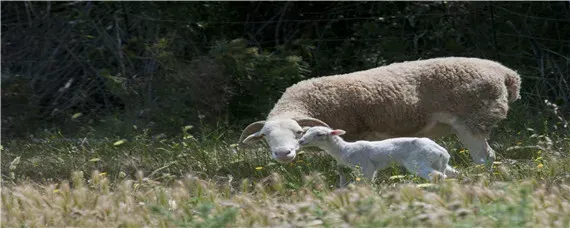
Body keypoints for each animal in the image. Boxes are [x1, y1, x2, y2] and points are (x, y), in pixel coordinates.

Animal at [236, 56, 520, 168]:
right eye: (265, 137)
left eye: (298, 132)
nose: (283, 154)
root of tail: (506, 73)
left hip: (472, 121)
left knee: (485, 157)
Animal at [298, 125, 458, 186]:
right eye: (306, 131)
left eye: (320, 134)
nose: (301, 141)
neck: (343, 150)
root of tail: (441, 151)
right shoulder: (344, 170)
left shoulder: (366, 167)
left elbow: (365, 182)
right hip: (439, 163)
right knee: (452, 174)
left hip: (418, 162)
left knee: (438, 176)